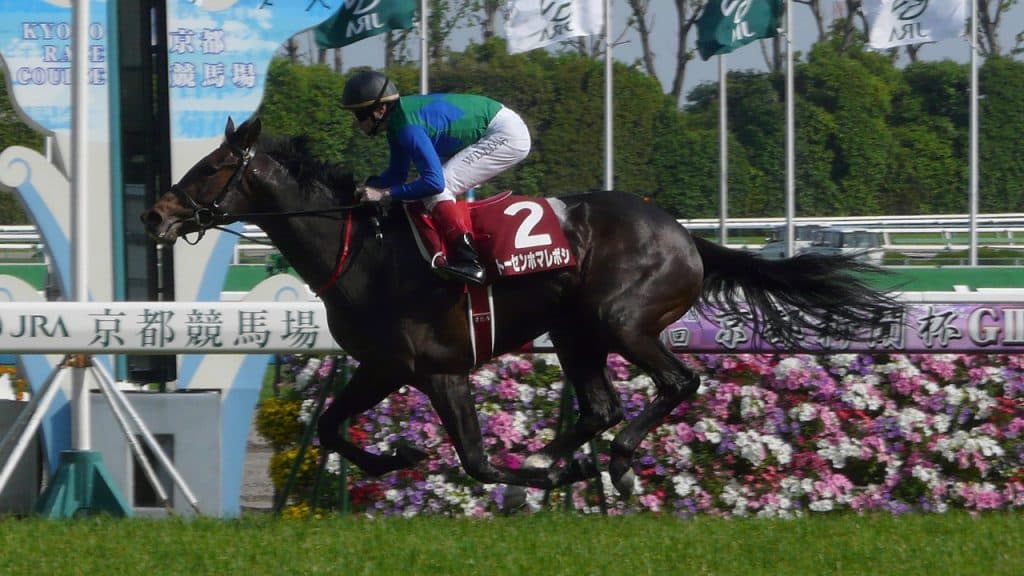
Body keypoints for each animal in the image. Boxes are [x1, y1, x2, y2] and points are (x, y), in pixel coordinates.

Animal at [142, 117, 902, 496]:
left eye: (212, 167)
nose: (156, 214)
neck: (361, 250)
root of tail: (686, 236)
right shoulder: (411, 367)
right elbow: (349, 432)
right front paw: (411, 458)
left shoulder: (415, 366)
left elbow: (451, 455)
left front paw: (417, 454)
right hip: (574, 331)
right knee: (600, 405)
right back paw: (568, 458)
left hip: (621, 321)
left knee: (676, 383)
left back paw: (614, 460)